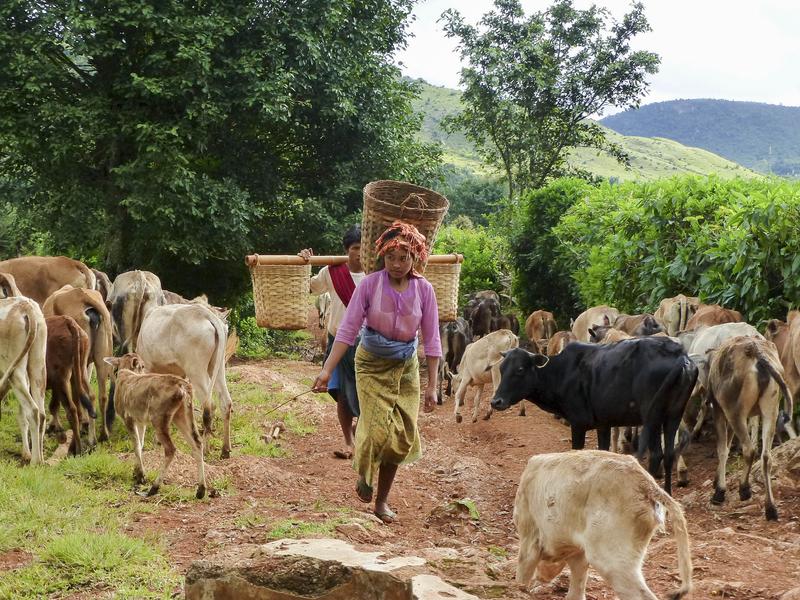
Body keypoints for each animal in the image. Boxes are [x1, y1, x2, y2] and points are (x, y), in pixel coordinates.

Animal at [0, 296, 47, 464]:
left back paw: (34, 462)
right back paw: (39, 459)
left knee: (33, 411)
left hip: (14, 371)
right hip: (37, 366)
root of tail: (25, 306)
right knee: (41, 413)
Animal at [135, 304, 231, 460]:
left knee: (209, 406)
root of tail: (206, 314)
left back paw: (205, 450)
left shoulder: (148, 368)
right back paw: (225, 450)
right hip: (217, 366)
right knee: (225, 402)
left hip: (196, 370)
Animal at [490, 338, 696, 492]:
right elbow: (603, 453)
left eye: (520, 369)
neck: (561, 373)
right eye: (501, 369)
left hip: (652, 416)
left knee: (656, 455)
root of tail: (679, 354)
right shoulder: (603, 424)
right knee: (669, 454)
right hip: (673, 414)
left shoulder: (578, 424)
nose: (495, 402)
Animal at [708, 338, 792, 520]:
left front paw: (719, 491)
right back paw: (771, 509)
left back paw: (744, 489)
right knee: (766, 456)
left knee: (749, 449)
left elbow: (722, 449)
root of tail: (756, 352)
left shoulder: (719, 409)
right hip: (771, 407)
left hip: (735, 410)